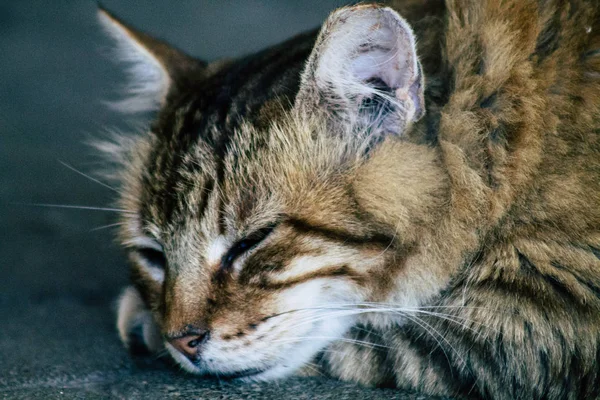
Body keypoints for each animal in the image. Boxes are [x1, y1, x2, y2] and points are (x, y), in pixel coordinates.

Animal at [97, 1, 600, 398]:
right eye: (153, 256)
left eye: (251, 242)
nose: (179, 341)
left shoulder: (536, 325)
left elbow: (369, 346)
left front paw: (140, 318)